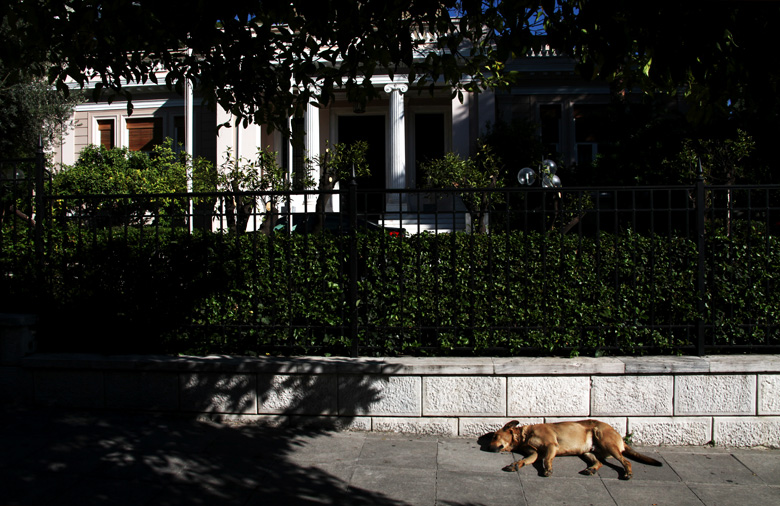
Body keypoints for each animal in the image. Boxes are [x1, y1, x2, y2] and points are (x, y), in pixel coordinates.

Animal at [488, 420, 660, 478]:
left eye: (495, 436)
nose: (488, 447)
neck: (524, 435)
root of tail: (621, 439)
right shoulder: (534, 454)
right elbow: (525, 460)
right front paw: (515, 464)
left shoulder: (551, 445)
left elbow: (547, 459)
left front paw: (548, 469)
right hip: (588, 451)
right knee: (599, 462)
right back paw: (591, 469)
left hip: (607, 443)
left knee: (626, 461)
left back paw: (628, 473)